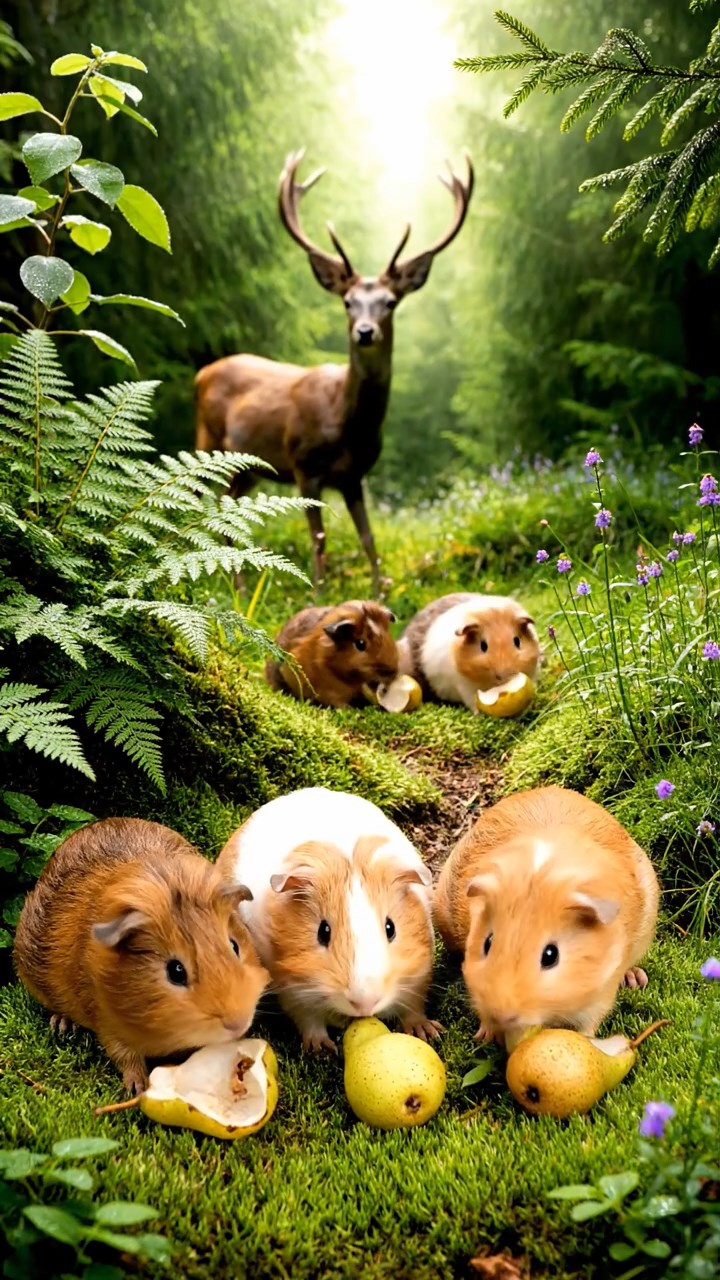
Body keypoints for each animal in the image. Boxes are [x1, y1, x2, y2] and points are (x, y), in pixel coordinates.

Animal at [194, 148, 474, 596]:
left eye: (390, 302)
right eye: (347, 301)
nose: (365, 331)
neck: (345, 423)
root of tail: (202, 372)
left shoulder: (354, 476)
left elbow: (368, 537)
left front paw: (380, 592)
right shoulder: (304, 466)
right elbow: (319, 539)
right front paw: (319, 594)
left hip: (248, 469)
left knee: (227, 506)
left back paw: (238, 585)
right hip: (208, 441)